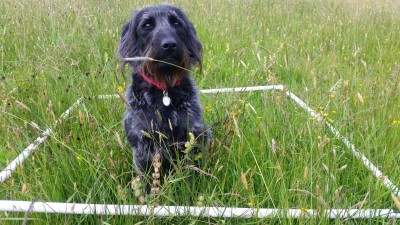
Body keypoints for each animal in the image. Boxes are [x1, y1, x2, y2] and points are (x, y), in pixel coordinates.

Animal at [117, 4, 211, 183]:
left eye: (176, 23)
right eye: (147, 25)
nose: (169, 45)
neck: (164, 90)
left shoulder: (192, 136)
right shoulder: (143, 146)